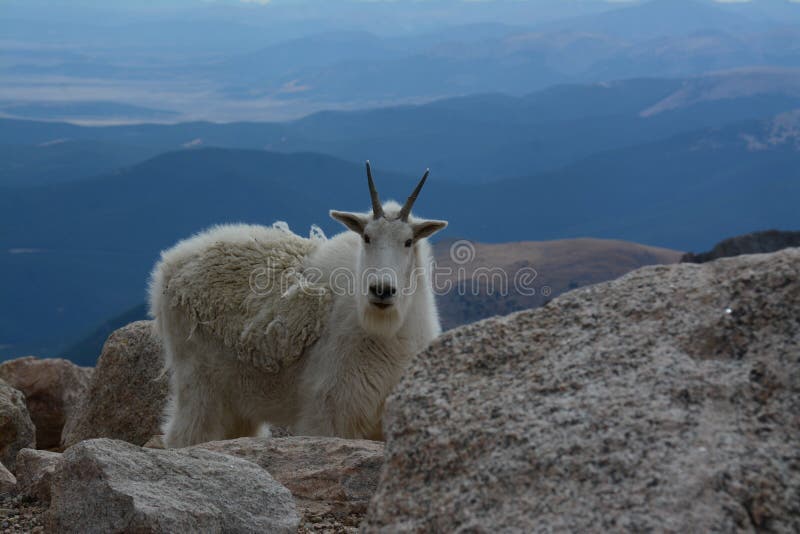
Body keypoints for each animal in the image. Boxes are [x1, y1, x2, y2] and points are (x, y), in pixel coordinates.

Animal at [149, 163, 446, 448]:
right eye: (367, 237)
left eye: (408, 241)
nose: (382, 290)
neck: (387, 330)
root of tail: (168, 265)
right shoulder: (329, 409)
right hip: (199, 380)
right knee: (186, 433)